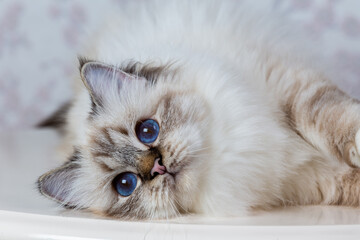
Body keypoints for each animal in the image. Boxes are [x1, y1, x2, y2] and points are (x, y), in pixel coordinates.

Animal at [35, 0, 360, 219]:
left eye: (147, 130)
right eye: (125, 184)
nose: (157, 166)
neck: (230, 153)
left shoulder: (290, 86)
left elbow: (329, 118)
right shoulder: (313, 179)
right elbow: (352, 182)